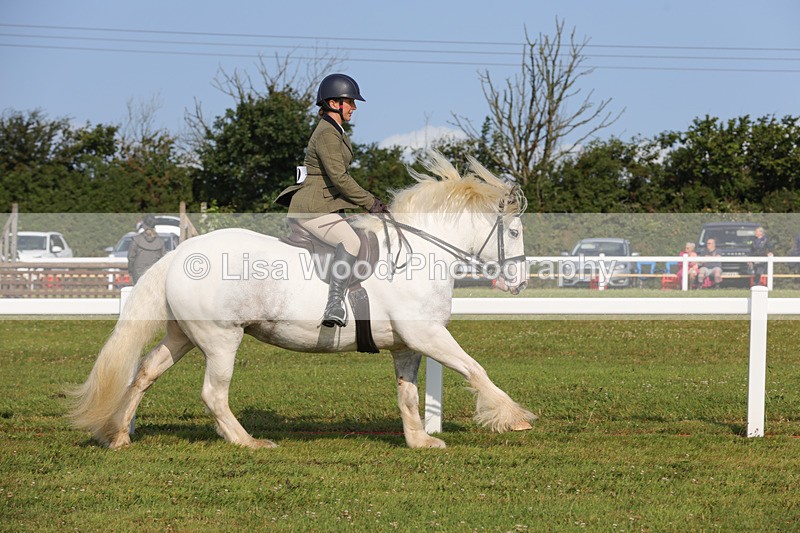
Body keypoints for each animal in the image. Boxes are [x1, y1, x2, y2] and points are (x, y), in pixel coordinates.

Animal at [68, 151, 536, 449]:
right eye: (513, 232)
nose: (520, 283)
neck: (421, 254)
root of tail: (180, 253)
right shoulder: (428, 335)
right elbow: (474, 368)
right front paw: (513, 418)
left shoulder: (407, 345)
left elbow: (407, 393)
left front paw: (420, 440)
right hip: (221, 339)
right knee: (213, 394)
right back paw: (248, 442)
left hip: (183, 335)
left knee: (144, 373)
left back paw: (118, 435)